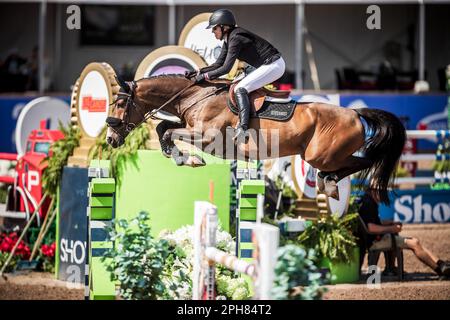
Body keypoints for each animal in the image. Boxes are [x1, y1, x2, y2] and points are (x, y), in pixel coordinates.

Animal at [106, 74, 408, 205]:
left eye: (119, 105)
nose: (110, 139)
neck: (195, 96)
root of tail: (356, 113)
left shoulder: (207, 137)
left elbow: (169, 132)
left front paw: (187, 159)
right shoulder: (187, 124)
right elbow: (163, 129)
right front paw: (178, 156)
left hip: (321, 154)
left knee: (363, 161)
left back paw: (330, 183)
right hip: (320, 154)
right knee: (356, 162)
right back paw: (329, 183)